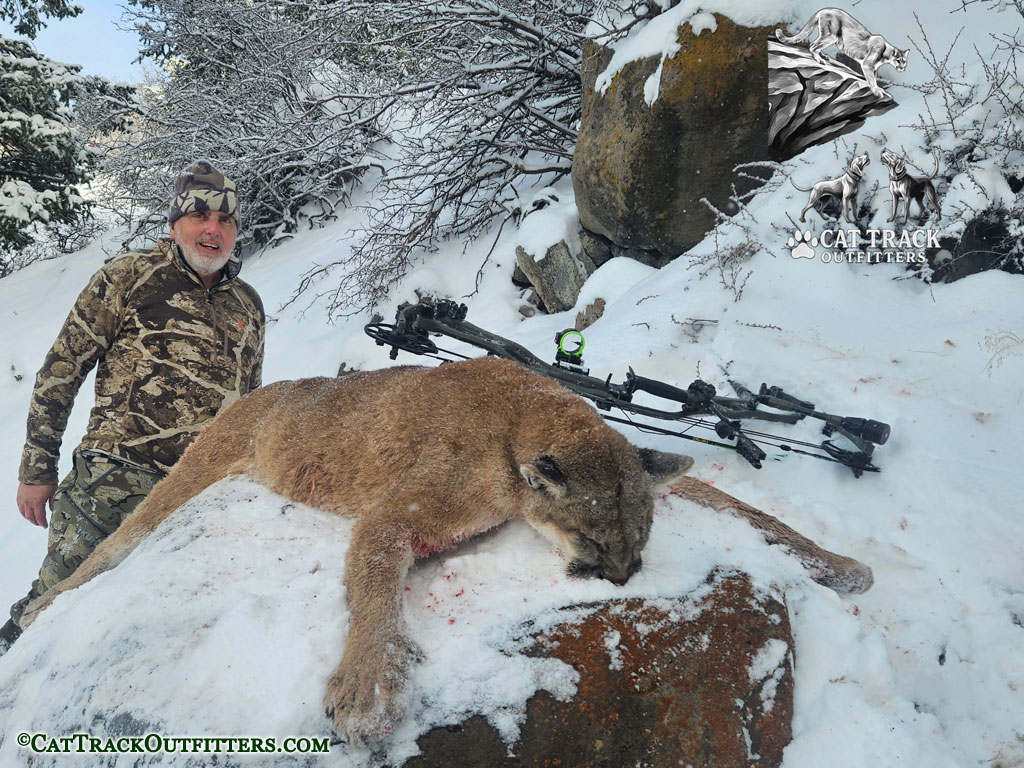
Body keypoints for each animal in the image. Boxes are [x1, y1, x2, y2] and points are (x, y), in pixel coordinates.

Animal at [20, 357, 872, 745]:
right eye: (596, 538)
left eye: (639, 543)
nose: (622, 577)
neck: (526, 418)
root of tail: (260, 390)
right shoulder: (398, 516)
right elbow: (373, 592)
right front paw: (364, 689)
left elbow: (736, 502)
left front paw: (837, 562)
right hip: (190, 472)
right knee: (118, 539)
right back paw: (45, 605)